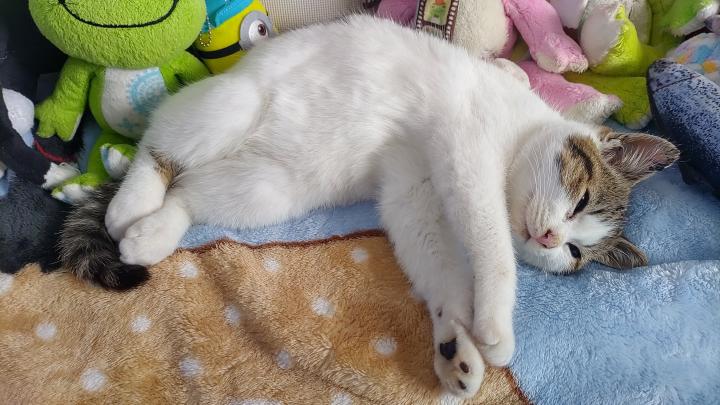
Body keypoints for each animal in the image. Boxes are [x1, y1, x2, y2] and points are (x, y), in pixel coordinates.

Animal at [60, 15, 678, 398]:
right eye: (579, 201)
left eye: (574, 254)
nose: (550, 241)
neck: (519, 130)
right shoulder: (469, 153)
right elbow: (492, 244)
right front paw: (496, 324)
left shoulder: (411, 190)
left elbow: (438, 261)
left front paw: (455, 338)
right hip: (229, 108)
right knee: (161, 141)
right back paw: (131, 201)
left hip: (269, 187)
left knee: (192, 192)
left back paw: (155, 230)